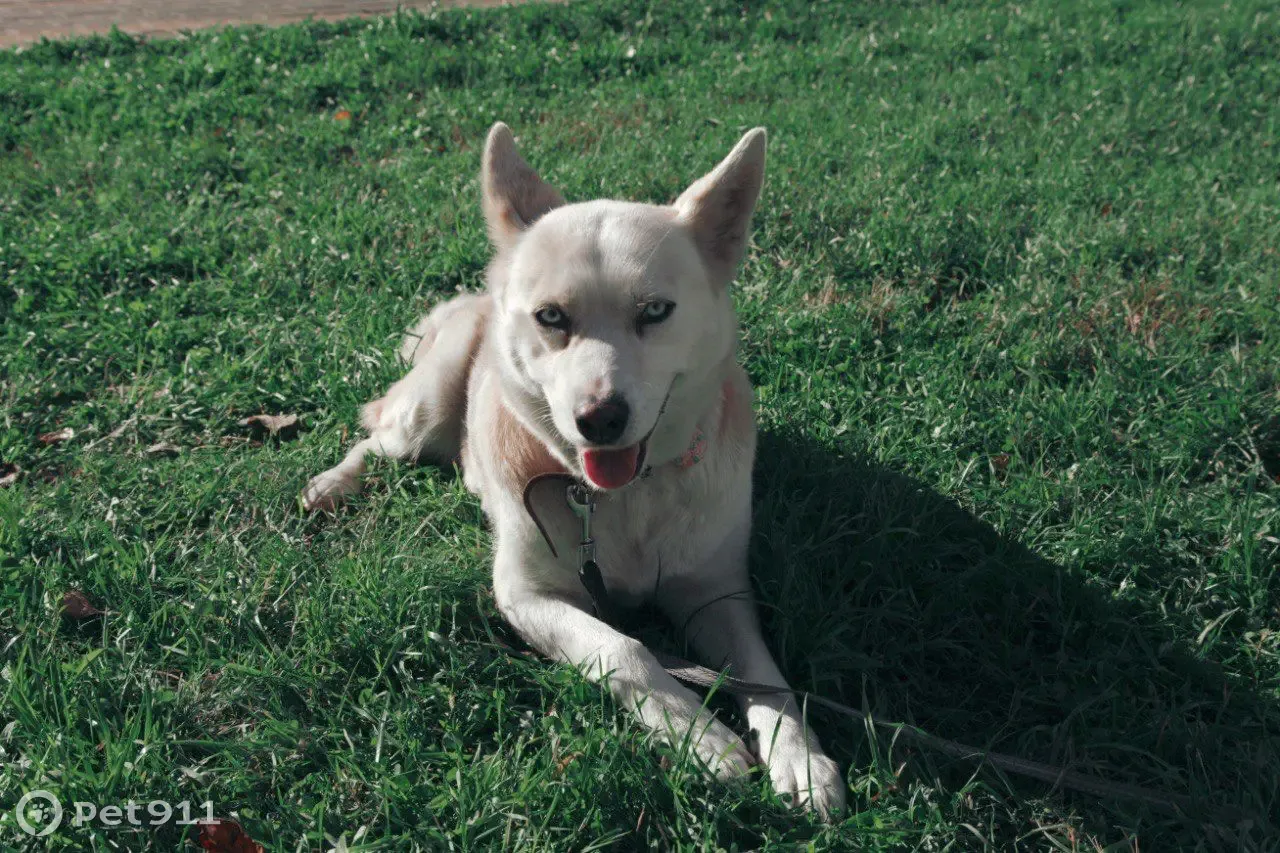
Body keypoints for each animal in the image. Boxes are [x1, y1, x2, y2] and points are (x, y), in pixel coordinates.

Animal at [307, 122, 849, 814]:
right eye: (552, 317)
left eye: (655, 311)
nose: (601, 419)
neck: (622, 498)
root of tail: (481, 291)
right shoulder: (525, 597)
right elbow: (627, 647)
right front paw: (700, 736)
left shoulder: (717, 591)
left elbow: (766, 677)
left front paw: (798, 756)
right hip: (421, 415)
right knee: (376, 436)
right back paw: (333, 484)